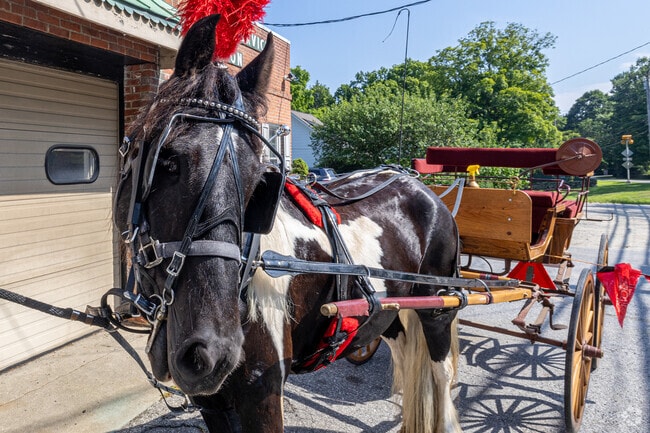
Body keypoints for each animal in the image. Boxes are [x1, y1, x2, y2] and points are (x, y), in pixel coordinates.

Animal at [114, 14, 462, 433]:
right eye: (166, 163)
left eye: (256, 184)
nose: (213, 350)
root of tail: (422, 188)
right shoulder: (211, 401)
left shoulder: (262, 393)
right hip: (391, 309)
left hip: (438, 306)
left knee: (441, 375)